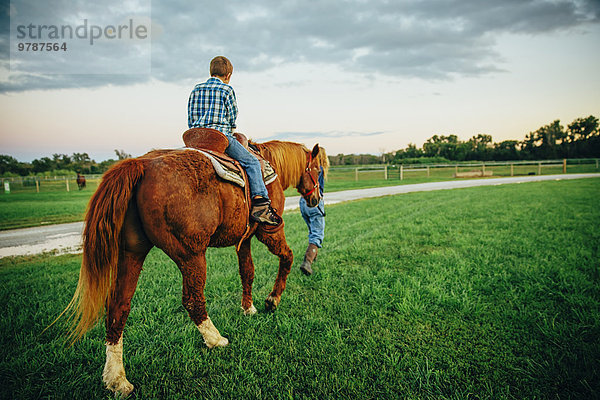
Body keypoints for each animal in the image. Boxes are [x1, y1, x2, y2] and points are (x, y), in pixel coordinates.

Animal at [62, 139, 324, 396]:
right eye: (317, 169)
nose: (316, 200)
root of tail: (142, 164)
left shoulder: (244, 239)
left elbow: (247, 272)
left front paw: (248, 308)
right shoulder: (269, 233)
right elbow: (287, 258)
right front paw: (272, 299)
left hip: (132, 254)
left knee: (118, 307)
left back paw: (117, 379)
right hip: (192, 256)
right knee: (192, 299)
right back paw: (216, 339)